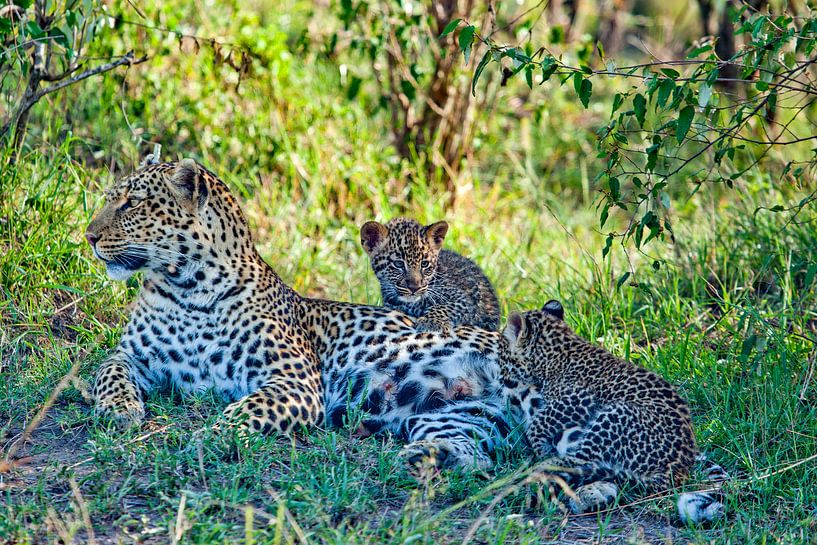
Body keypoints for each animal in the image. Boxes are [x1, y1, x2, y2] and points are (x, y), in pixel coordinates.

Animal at [360, 217, 500, 334]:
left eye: (425, 264)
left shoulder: (465, 299)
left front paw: (430, 322)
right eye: (398, 264)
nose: (414, 288)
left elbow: (444, 306)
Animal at [500, 300, 727, 521]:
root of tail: (677, 471)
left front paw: (539, 445)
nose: (502, 374)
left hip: (614, 415)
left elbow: (538, 423)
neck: (556, 350)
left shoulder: (577, 399)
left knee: (581, 461)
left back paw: (539, 468)